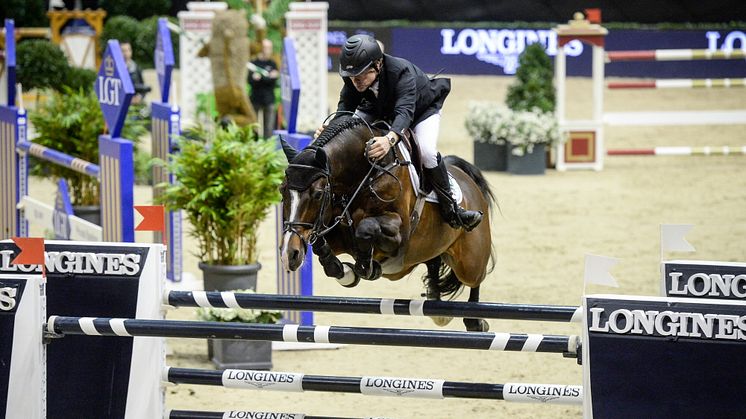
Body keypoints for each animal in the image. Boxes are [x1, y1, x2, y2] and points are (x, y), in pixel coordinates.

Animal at [280, 115, 494, 332]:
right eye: (282, 190)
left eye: (317, 194)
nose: (289, 255)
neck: (363, 175)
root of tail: (467, 178)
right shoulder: (336, 233)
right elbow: (321, 246)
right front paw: (346, 272)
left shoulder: (398, 234)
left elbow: (366, 228)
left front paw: (366, 267)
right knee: (433, 263)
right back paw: (438, 307)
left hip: (469, 262)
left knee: (476, 278)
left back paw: (475, 321)